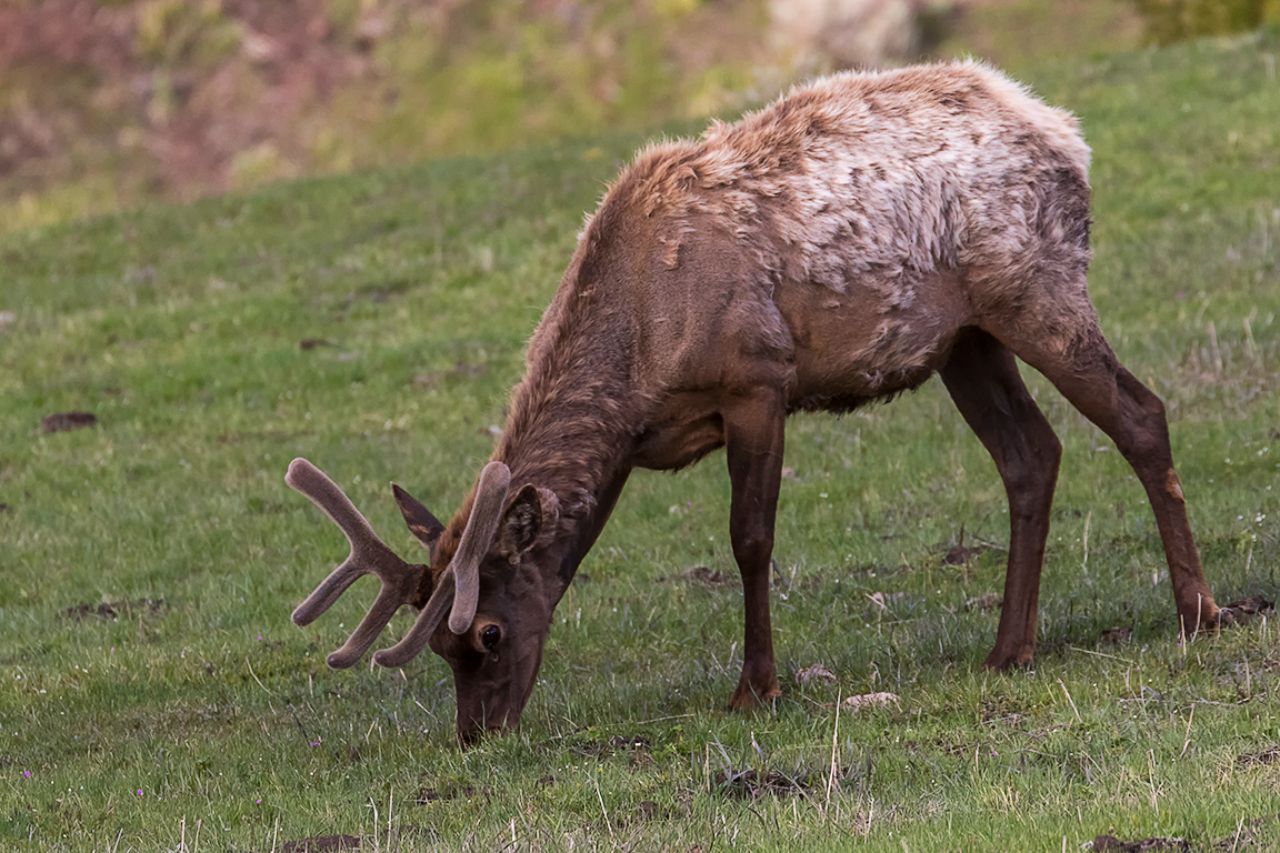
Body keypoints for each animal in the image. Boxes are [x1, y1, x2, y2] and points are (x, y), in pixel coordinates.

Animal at [284, 60, 1227, 745]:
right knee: (1032, 455)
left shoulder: (757, 378)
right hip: (967, 337)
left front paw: (756, 687)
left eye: (486, 633)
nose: (476, 735)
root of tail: (1067, 135)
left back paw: (1198, 612)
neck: (639, 353)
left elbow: (750, 538)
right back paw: (1009, 648)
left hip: (1038, 286)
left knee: (1141, 413)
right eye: (439, 642)